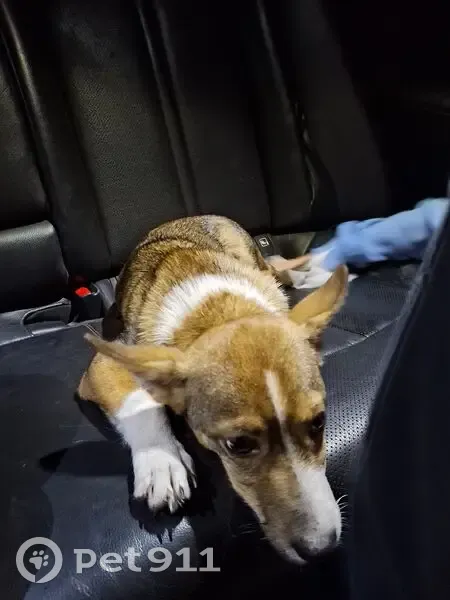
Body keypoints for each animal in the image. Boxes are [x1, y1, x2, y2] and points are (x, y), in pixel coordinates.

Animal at [78, 215, 348, 563]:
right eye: (238, 445)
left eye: (319, 422)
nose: (321, 549)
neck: (216, 309)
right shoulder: (103, 365)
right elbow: (140, 402)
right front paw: (161, 462)